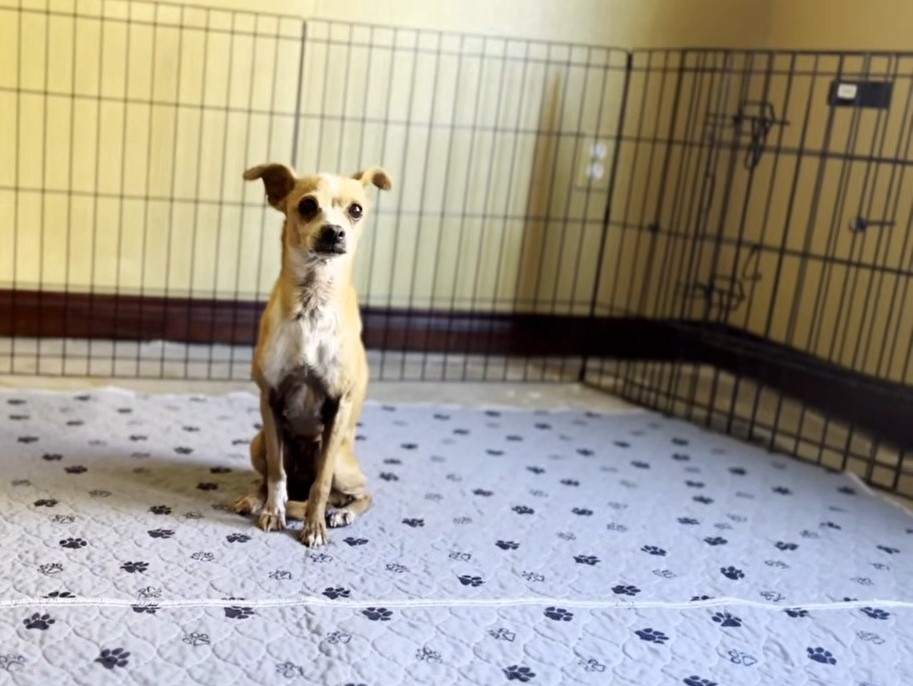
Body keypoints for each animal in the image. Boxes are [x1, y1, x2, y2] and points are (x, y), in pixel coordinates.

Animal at [230, 161, 390, 548]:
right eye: (306, 206)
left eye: (356, 210)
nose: (334, 232)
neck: (312, 304)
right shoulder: (270, 401)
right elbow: (276, 474)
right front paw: (273, 512)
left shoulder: (338, 406)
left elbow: (321, 485)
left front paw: (314, 526)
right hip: (259, 441)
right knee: (273, 476)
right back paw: (255, 499)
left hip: (341, 461)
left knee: (359, 493)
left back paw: (341, 513)